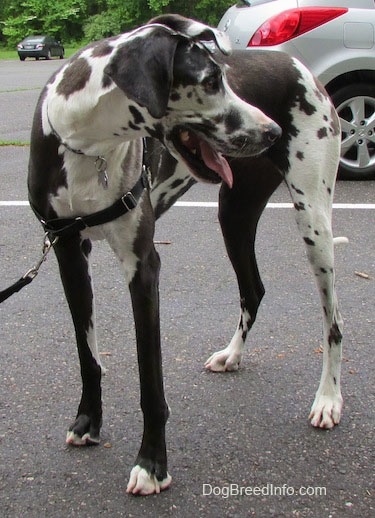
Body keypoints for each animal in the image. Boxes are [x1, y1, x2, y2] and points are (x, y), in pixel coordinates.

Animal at [27, 15, 282, 496]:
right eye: (211, 80)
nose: (272, 131)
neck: (85, 143)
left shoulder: (143, 269)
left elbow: (151, 382)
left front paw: (151, 464)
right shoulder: (68, 253)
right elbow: (88, 358)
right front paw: (88, 420)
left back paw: (327, 401)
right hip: (235, 215)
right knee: (253, 289)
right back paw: (232, 355)